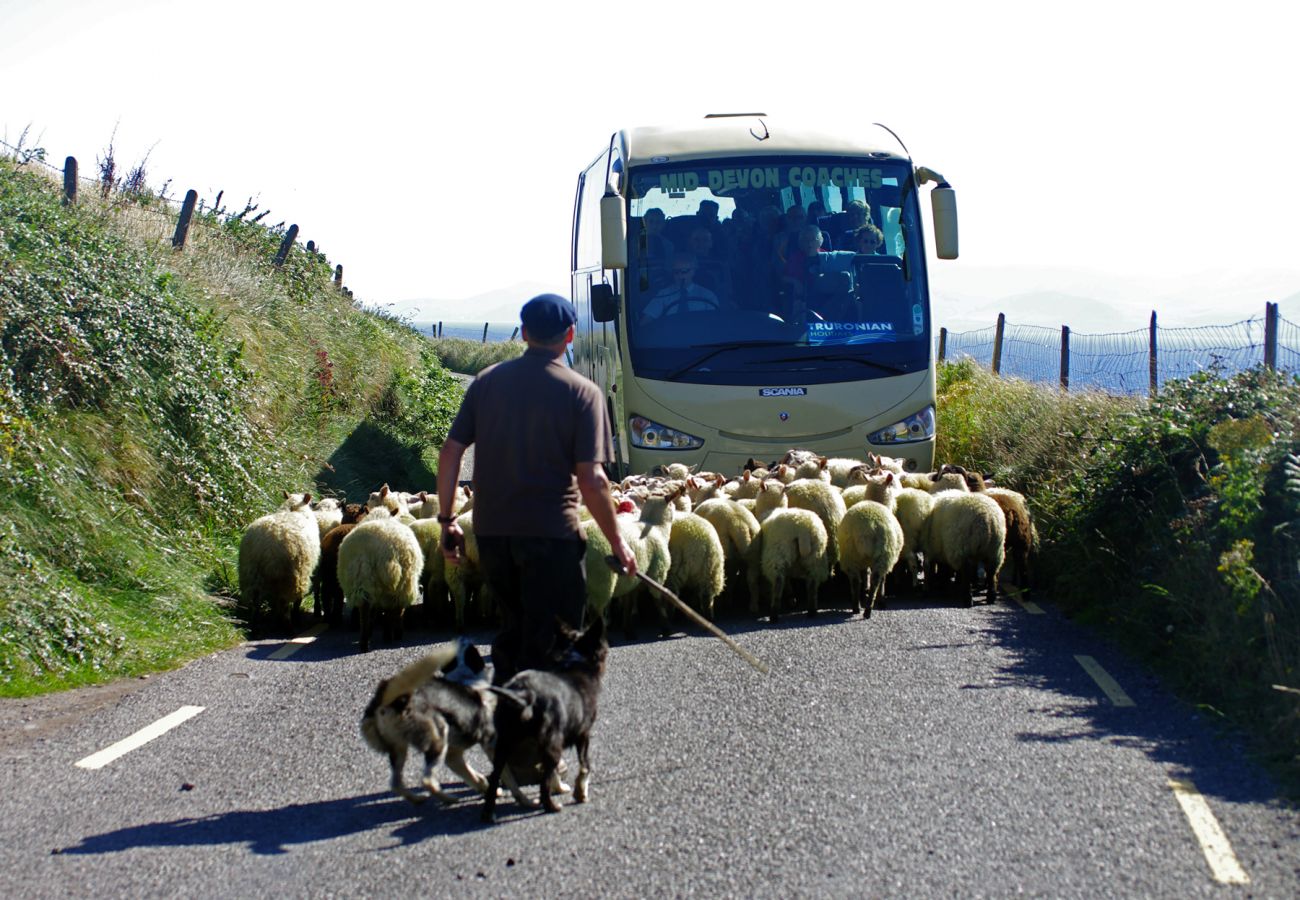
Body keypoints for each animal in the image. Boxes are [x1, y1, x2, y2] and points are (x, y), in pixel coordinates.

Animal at [239, 491, 319, 632]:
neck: (293, 509)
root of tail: (268, 548)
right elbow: (297, 602)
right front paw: (296, 618)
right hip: (292, 576)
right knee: (285, 601)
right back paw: (287, 625)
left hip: (251, 573)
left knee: (256, 600)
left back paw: (255, 624)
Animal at [338, 507, 423, 647]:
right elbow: (398, 611)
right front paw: (397, 632)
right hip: (399, 582)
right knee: (391, 609)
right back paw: (389, 635)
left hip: (362, 580)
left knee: (365, 610)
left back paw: (365, 641)